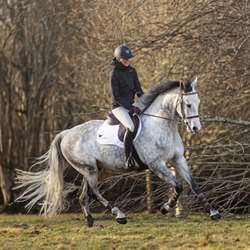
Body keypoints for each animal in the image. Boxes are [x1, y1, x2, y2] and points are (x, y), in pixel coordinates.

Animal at [14, 78, 222, 227]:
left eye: (197, 101)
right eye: (187, 104)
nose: (195, 128)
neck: (162, 125)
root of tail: (66, 134)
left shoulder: (178, 160)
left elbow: (194, 185)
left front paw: (213, 213)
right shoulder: (156, 165)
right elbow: (178, 186)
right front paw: (165, 208)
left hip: (91, 169)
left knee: (83, 195)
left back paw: (91, 222)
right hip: (89, 169)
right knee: (94, 192)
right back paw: (119, 215)